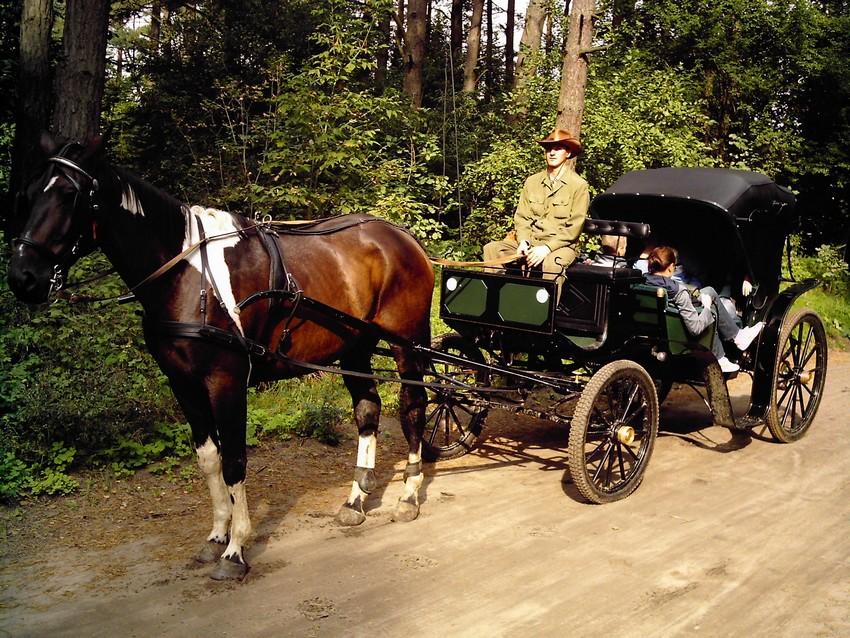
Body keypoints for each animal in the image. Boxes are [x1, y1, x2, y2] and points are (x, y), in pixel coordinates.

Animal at [11, 134, 438, 580]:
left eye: (69, 195)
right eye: (28, 194)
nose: (22, 276)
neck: (187, 276)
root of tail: (402, 236)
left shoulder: (226, 381)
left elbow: (234, 460)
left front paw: (236, 550)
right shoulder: (183, 384)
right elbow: (209, 459)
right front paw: (217, 535)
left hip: (406, 344)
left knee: (414, 405)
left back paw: (409, 495)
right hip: (354, 347)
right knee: (368, 410)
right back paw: (355, 500)